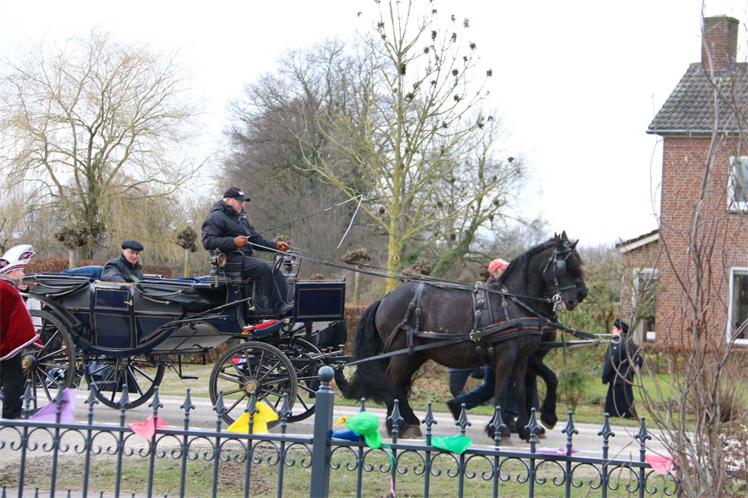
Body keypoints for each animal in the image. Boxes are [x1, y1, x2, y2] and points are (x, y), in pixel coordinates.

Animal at [337, 233, 587, 440]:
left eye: (578, 263)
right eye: (566, 265)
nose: (581, 295)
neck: (513, 302)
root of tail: (385, 298)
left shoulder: (524, 357)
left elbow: (520, 389)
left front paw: (526, 428)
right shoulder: (507, 355)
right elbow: (503, 389)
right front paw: (500, 428)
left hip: (416, 354)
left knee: (400, 385)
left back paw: (409, 421)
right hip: (401, 353)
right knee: (392, 381)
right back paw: (395, 424)